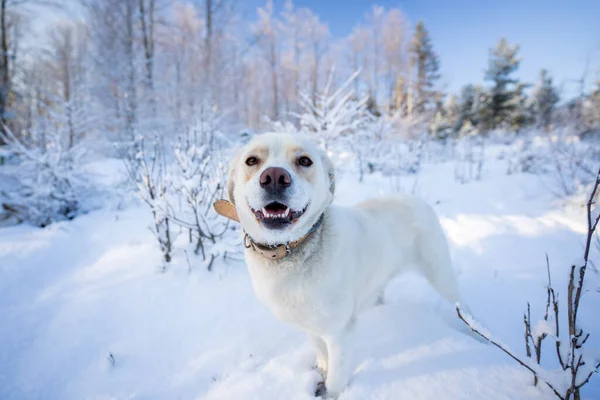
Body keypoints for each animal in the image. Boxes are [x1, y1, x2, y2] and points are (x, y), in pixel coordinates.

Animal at [213, 134, 462, 396]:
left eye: (304, 160)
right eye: (252, 160)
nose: (274, 177)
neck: (294, 251)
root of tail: (415, 199)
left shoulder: (341, 332)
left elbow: (336, 377)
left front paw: (331, 393)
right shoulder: (311, 324)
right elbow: (321, 352)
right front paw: (321, 369)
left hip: (442, 276)